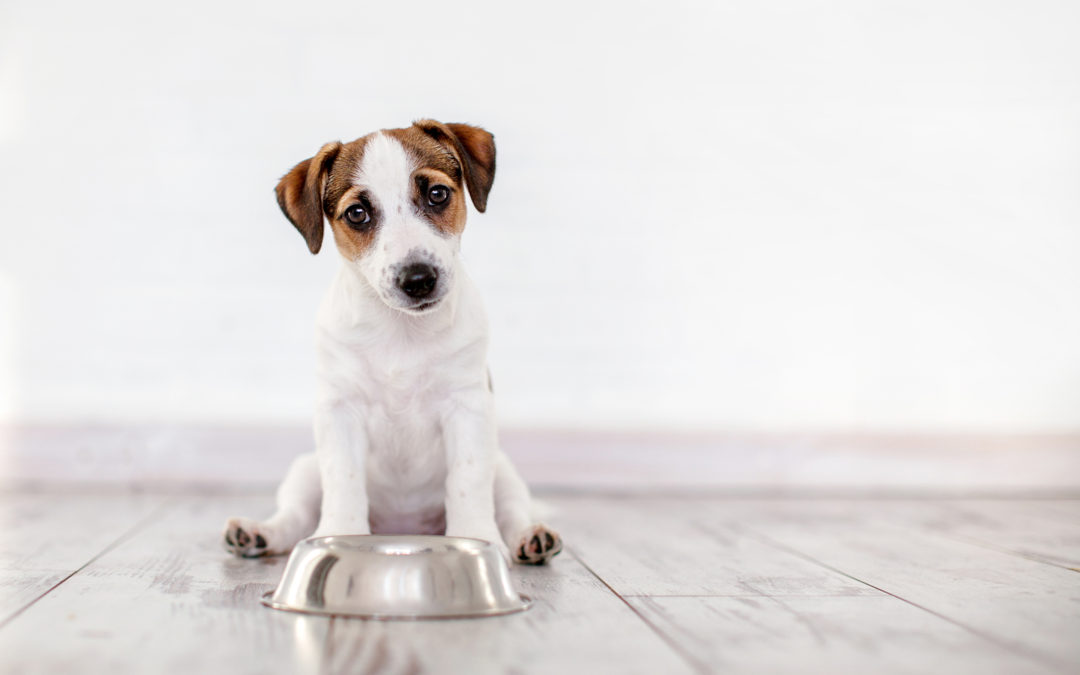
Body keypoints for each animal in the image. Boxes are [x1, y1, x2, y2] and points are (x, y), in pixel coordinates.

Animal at [218, 119, 557, 561]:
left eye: (437, 194)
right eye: (357, 213)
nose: (418, 279)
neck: (402, 331)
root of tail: (404, 527)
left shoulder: (468, 409)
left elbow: (467, 482)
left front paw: (478, 540)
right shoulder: (339, 412)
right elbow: (343, 481)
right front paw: (340, 534)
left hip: (503, 469)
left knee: (513, 509)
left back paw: (531, 538)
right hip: (305, 471)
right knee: (293, 515)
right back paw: (258, 533)